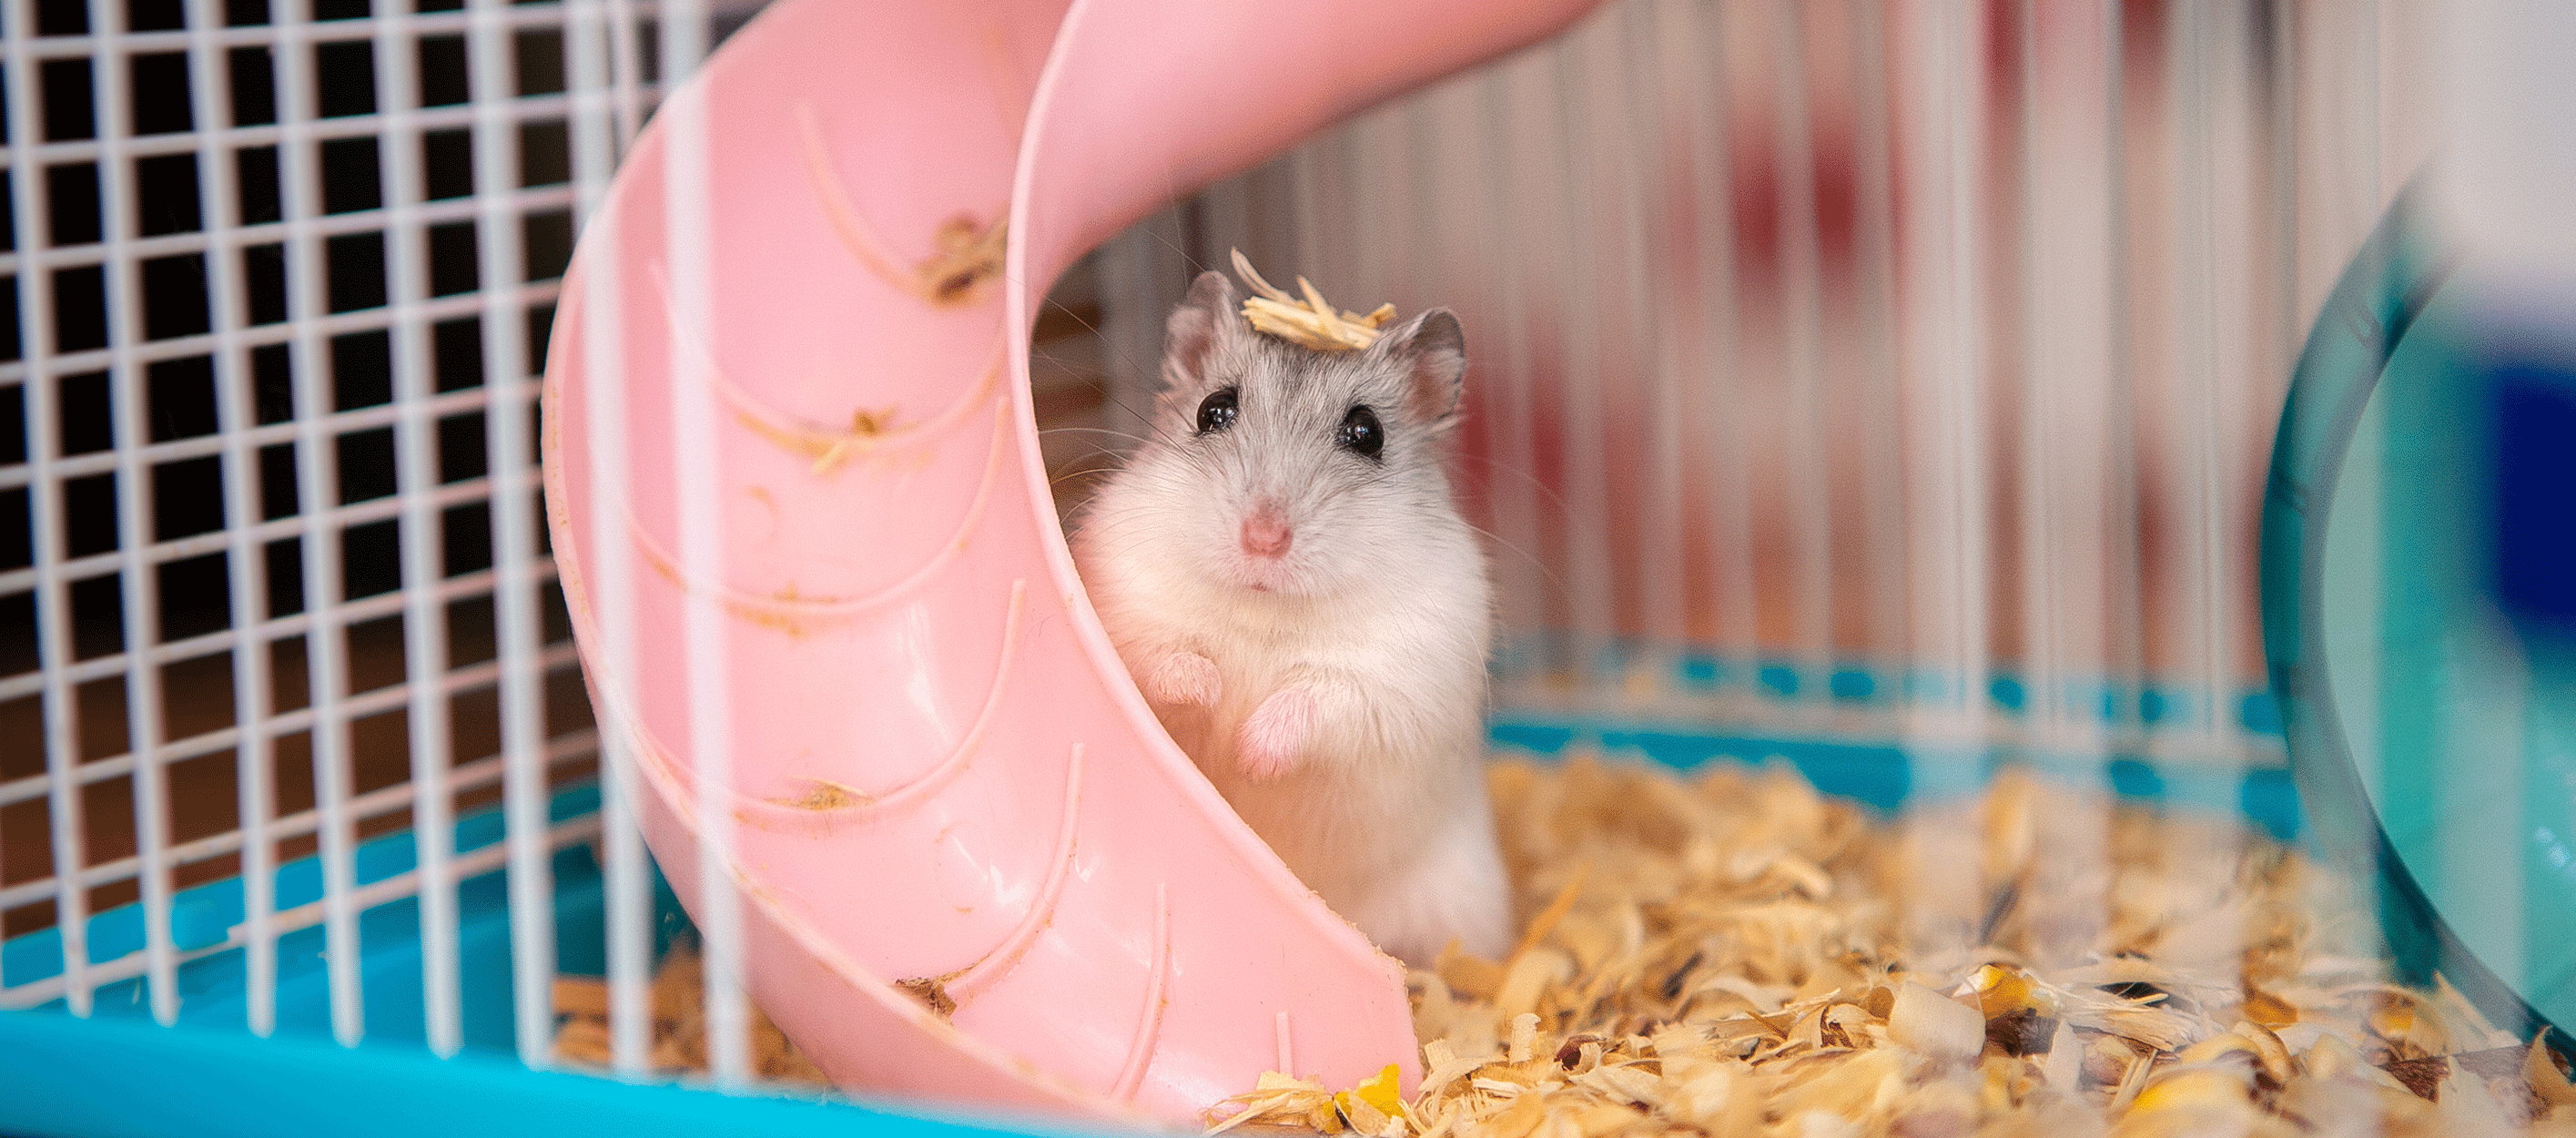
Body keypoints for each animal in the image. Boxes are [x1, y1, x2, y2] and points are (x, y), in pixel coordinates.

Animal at [1066, 271, 1504, 962]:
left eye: (1368, 434)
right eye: (1212, 410)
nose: (1263, 539)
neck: (1264, 613)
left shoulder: (1394, 681)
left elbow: (1316, 702)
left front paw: (1251, 755)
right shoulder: (1128, 614)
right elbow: (1169, 663)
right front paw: (1215, 698)